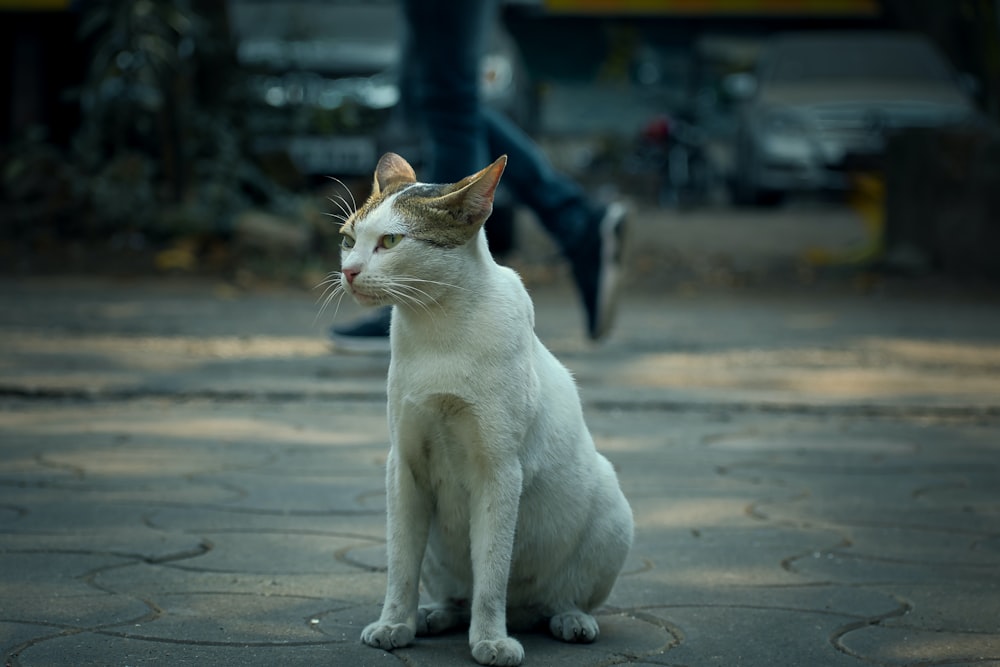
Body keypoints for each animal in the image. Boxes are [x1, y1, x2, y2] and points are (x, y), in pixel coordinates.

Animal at [336, 153, 632, 667]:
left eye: (390, 241)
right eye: (348, 240)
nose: (349, 271)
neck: (437, 328)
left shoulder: (499, 469)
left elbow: (492, 570)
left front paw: (491, 640)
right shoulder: (404, 467)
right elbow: (400, 564)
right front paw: (394, 624)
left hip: (615, 512)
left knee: (556, 597)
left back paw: (569, 620)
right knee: (456, 592)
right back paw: (434, 615)